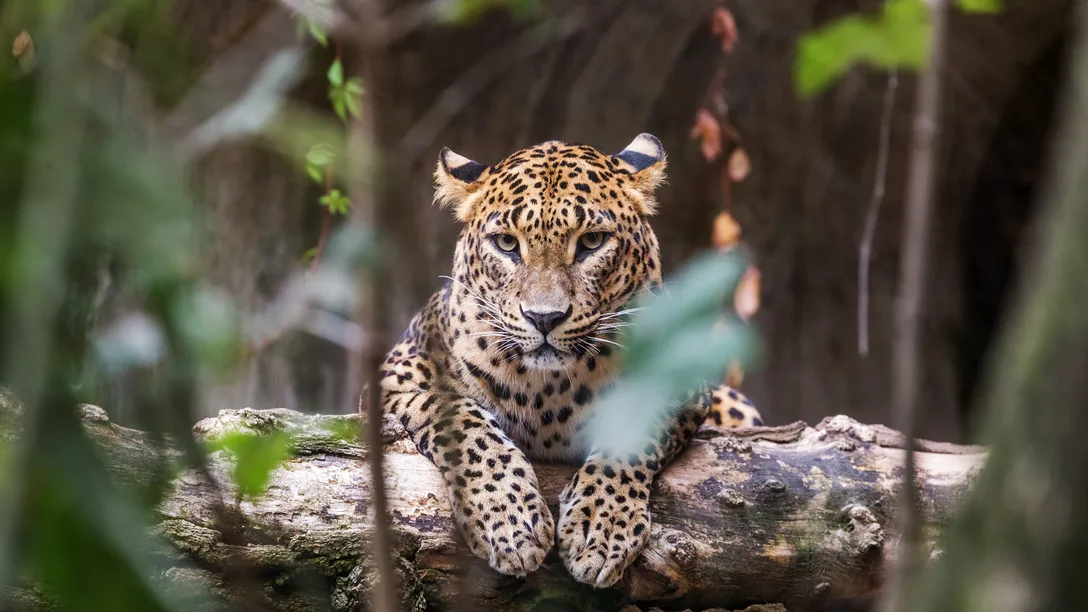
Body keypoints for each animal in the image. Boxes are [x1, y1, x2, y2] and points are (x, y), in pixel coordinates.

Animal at [379, 133, 764, 588]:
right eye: (506, 243)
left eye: (592, 242)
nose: (544, 317)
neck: (546, 390)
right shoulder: (397, 374)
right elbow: (462, 423)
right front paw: (510, 523)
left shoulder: (678, 382)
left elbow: (630, 433)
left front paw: (601, 529)